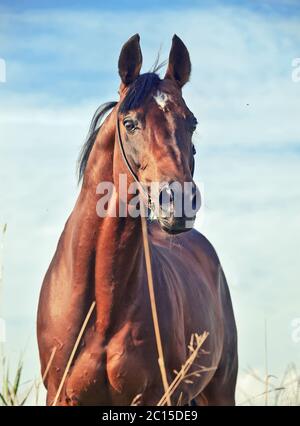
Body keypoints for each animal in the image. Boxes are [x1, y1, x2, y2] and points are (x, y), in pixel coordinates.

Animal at [37, 34, 238, 406]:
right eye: (129, 123)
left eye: (192, 122)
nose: (179, 202)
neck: (102, 304)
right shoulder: (59, 395)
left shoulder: (155, 397)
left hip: (219, 389)